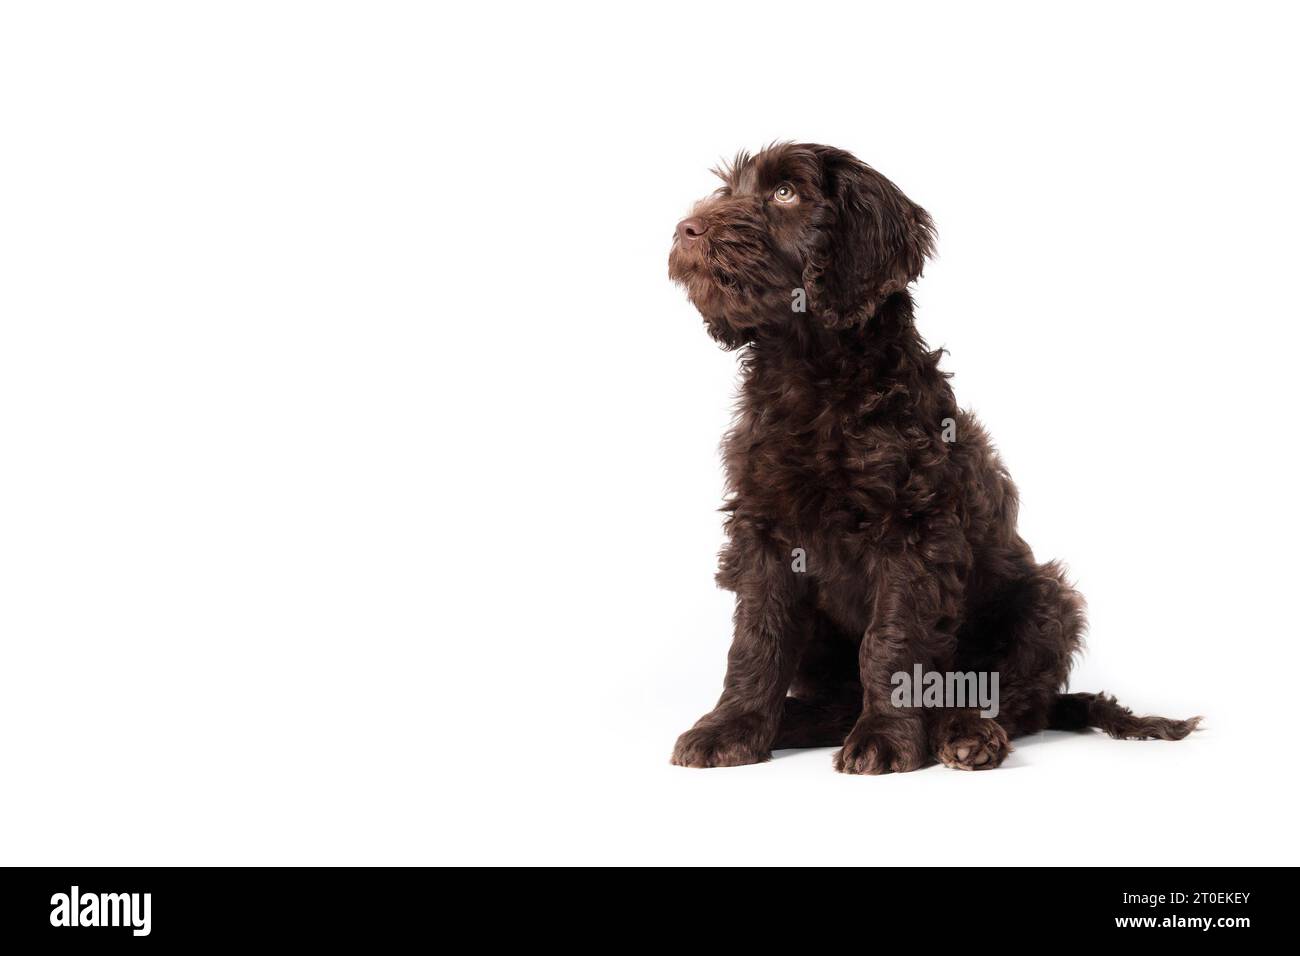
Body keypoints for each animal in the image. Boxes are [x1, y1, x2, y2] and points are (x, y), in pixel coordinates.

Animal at [670, 143, 1196, 770]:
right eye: (731, 190)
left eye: (785, 193)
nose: (685, 229)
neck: (810, 372)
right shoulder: (763, 531)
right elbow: (757, 638)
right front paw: (732, 727)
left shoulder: (914, 530)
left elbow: (891, 641)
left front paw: (885, 737)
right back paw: (797, 721)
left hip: (1046, 600)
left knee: (1014, 700)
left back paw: (964, 731)